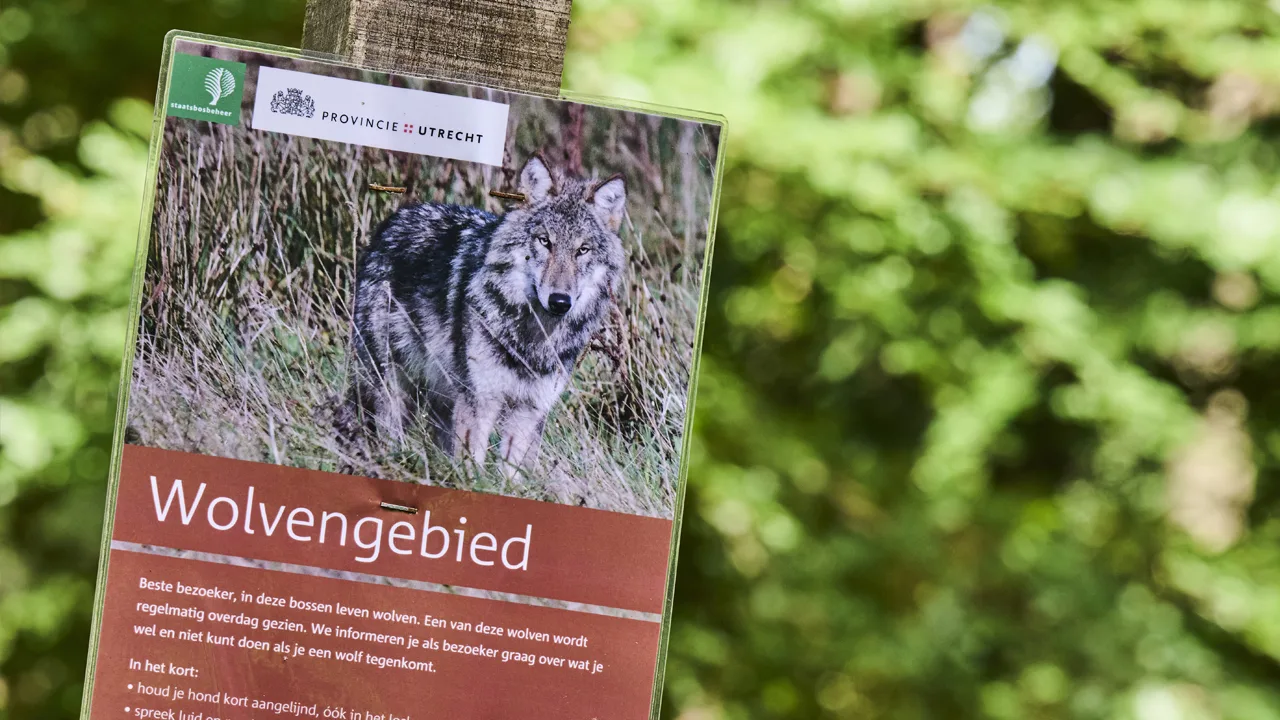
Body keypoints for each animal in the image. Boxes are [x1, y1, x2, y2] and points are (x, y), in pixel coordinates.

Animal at [340, 156, 627, 477]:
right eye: (545, 241)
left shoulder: (528, 411)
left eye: (582, 250)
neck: (531, 340)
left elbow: (510, 474)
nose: (560, 301)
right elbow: (471, 468)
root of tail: (394, 221)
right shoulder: (480, 401)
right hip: (392, 386)